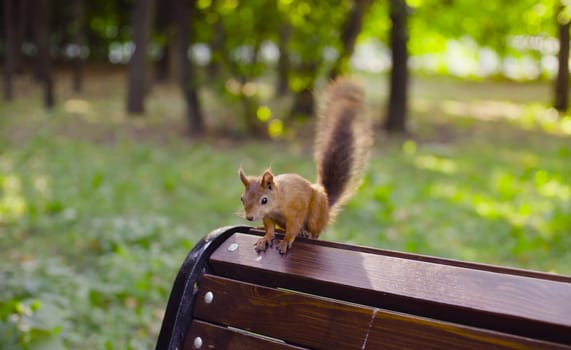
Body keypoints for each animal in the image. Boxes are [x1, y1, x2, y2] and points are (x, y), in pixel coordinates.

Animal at [239, 78, 374, 254]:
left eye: (264, 200)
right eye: (242, 198)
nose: (249, 217)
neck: (279, 198)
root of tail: (326, 209)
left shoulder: (296, 210)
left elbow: (293, 227)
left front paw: (286, 241)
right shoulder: (268, 216)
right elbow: (269, 228)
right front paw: (265, 238)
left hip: (316, 213)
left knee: (315, 231)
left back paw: (307, 234)